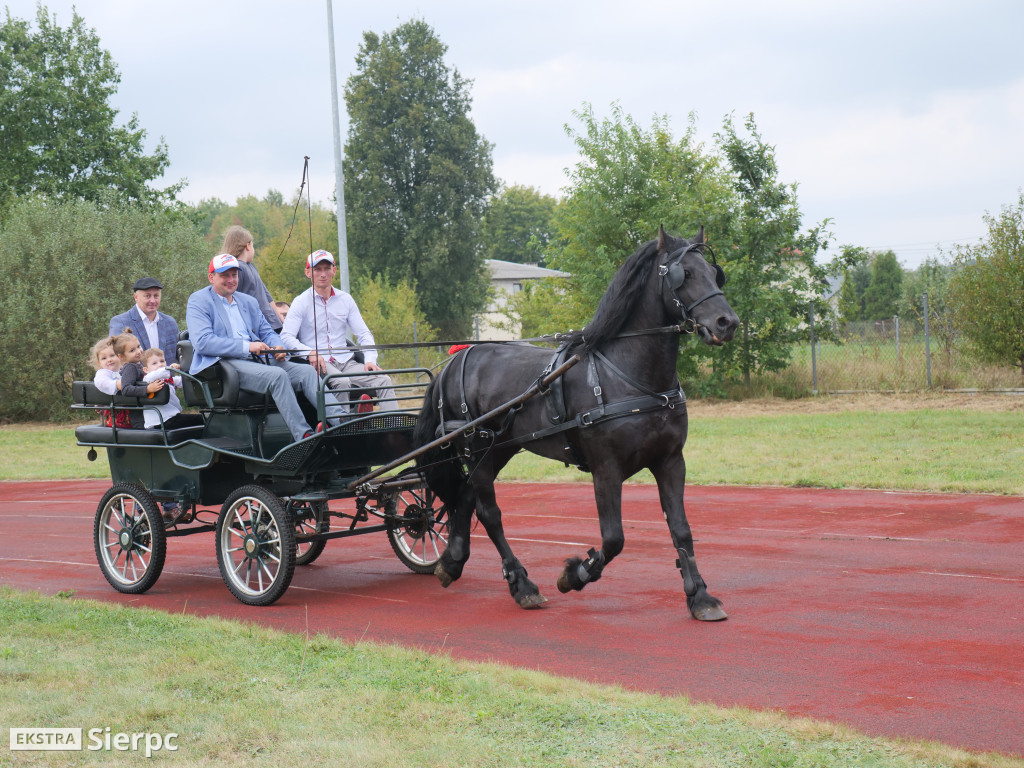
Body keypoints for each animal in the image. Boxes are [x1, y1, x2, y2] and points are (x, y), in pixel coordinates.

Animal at [411, 227, 741, 618]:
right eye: (683, 274)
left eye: (714, 273)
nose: (727, 322)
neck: (630, 376)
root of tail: (454, 361)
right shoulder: (606, 469)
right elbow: (614, 539)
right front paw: (574, 574)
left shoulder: (671, 461)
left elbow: (681, 529)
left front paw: (700, 596)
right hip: (475, 449)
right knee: (489, 512)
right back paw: (522, 584)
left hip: (498, 448)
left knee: (464, 495)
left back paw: (452, 562)